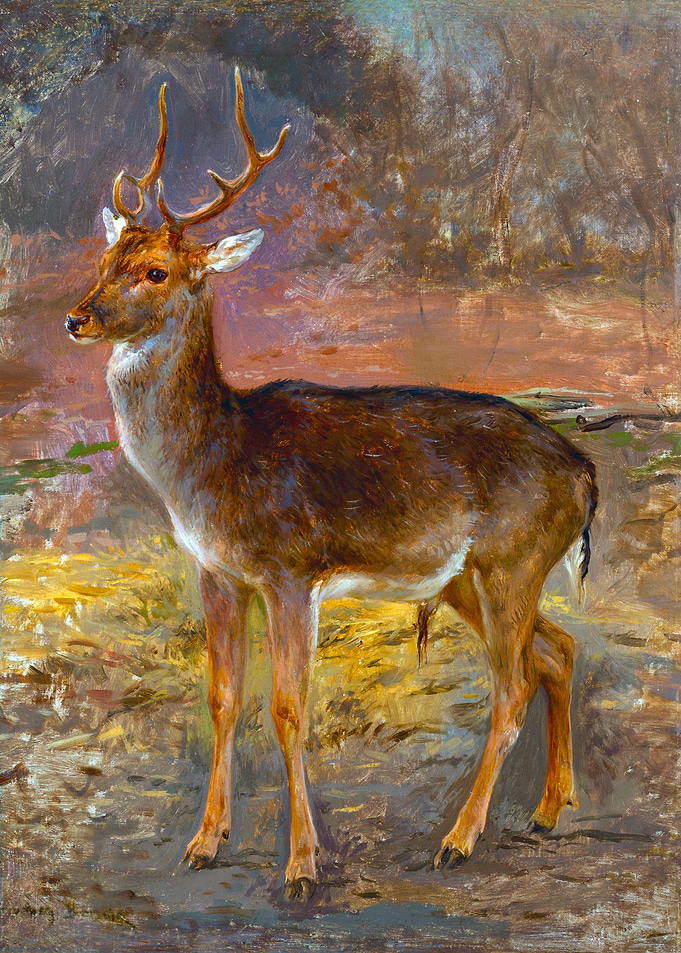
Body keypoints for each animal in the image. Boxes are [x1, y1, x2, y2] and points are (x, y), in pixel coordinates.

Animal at [66, 68, 598, 901]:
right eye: (103, 260)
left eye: (155, 271)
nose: (77, 318)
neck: (216, 460)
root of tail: (584, 472)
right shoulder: (216, 570)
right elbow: (222, 697)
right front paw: (203, 842)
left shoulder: (291, 567)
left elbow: (287, 706)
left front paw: (301, 865)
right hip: (471, 577)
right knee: (558, 649)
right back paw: (545, 810)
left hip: (512, 559)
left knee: (511, 684)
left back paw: (457, 838)